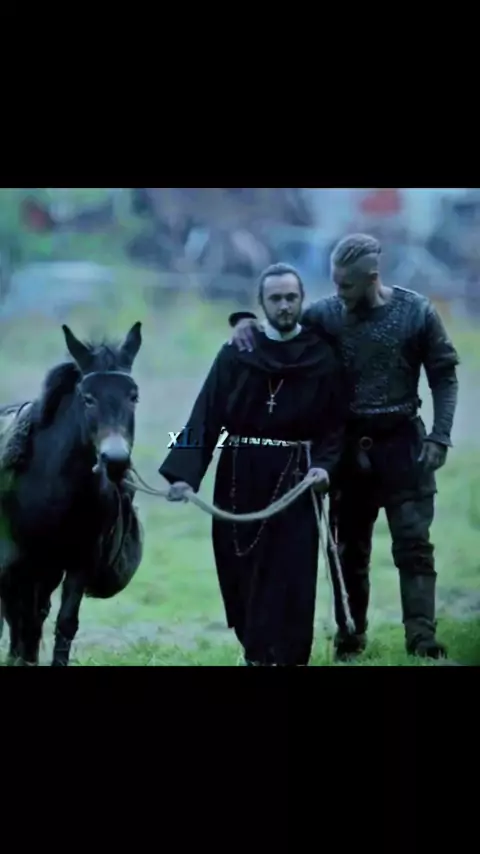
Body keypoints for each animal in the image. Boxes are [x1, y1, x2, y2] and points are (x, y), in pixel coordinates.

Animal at [0, 321, 144, 666]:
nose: (115, 461)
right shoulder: (17, 558)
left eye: (133, 397)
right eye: (88, 398)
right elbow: (22, 618)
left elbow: (65, 622)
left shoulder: (80, 560)